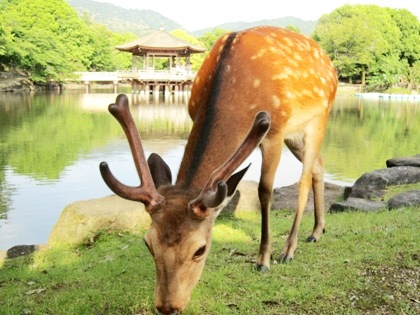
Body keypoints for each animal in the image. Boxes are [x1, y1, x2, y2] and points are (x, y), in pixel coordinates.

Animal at [99, 25, 338, 314]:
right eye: (148, 244)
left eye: (200, 250)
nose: (167, 306)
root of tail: (329, 62)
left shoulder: (275, 131)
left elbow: (265, 191)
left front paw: (263, 260)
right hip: (296, 136)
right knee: (319, 166)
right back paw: (317, 231)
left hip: (318, 118)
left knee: (304, 177)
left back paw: (289, 249)